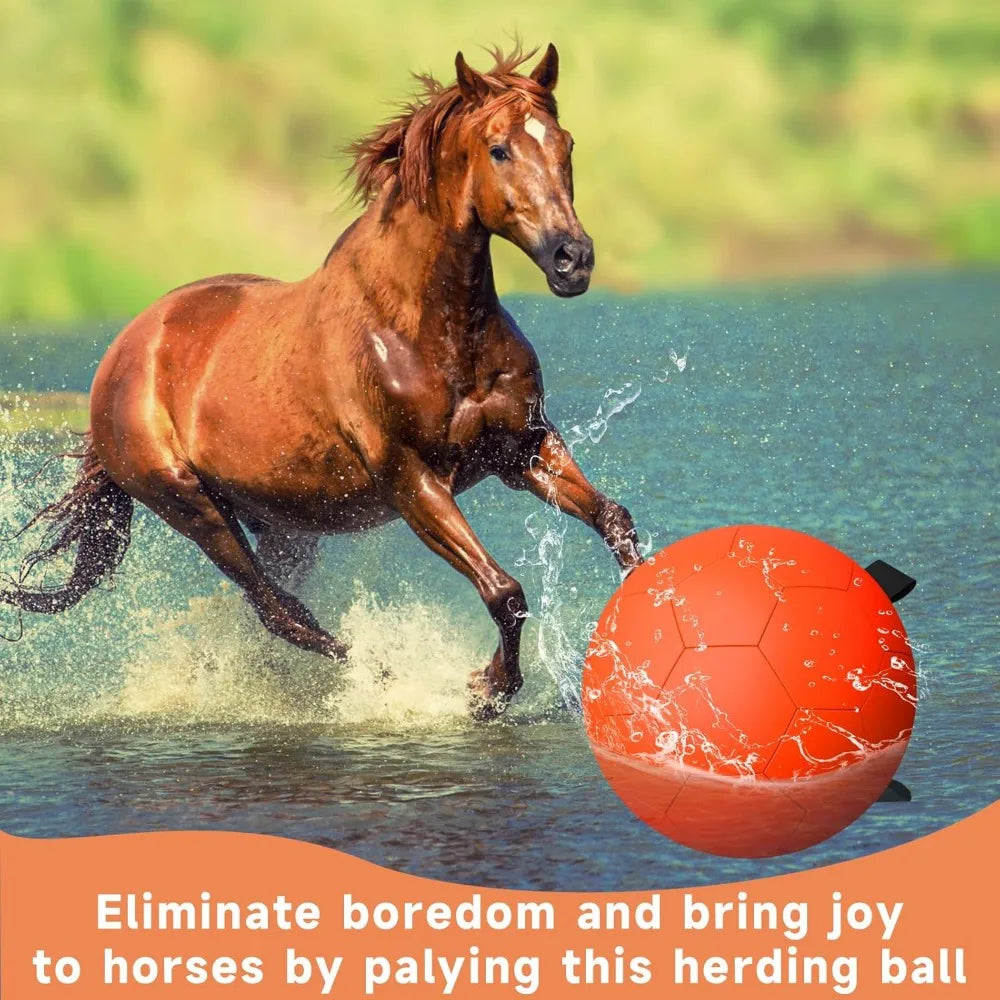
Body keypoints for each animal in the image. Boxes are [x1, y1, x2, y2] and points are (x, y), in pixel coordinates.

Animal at [2, 44, 642, 718]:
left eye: (565, 143)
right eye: (499, 150)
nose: (573, 260)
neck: (428, 328)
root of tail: (123, 354)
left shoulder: (522, 450)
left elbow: (614, 521)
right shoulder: (412, 481)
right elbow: (504, 591)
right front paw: (486, 688)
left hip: (282, 522)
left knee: (273, 608)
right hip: (190, 505)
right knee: (277, 610)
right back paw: (382, 676)